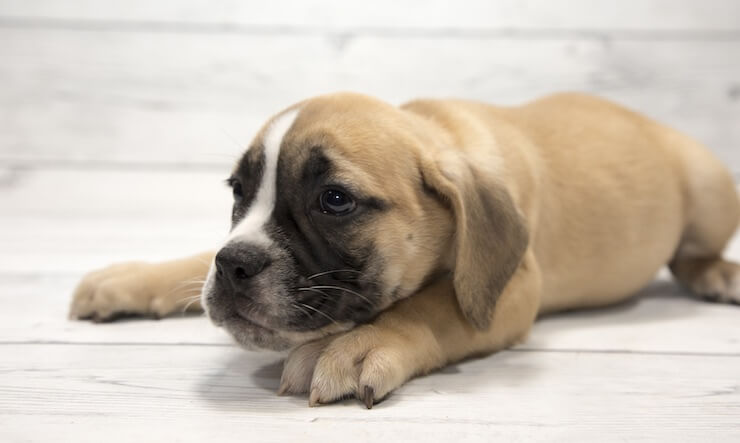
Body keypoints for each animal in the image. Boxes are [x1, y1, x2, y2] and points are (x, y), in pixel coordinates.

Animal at [69, 93, 740, 410]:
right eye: (238, 191)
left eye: (334, 200)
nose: (234, 266)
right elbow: (191, 258)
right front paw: (131, 278)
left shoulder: (511, 288)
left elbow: (433, 305)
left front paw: (358, 345)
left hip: (708, 189)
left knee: (692, 253)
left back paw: (718, 274)